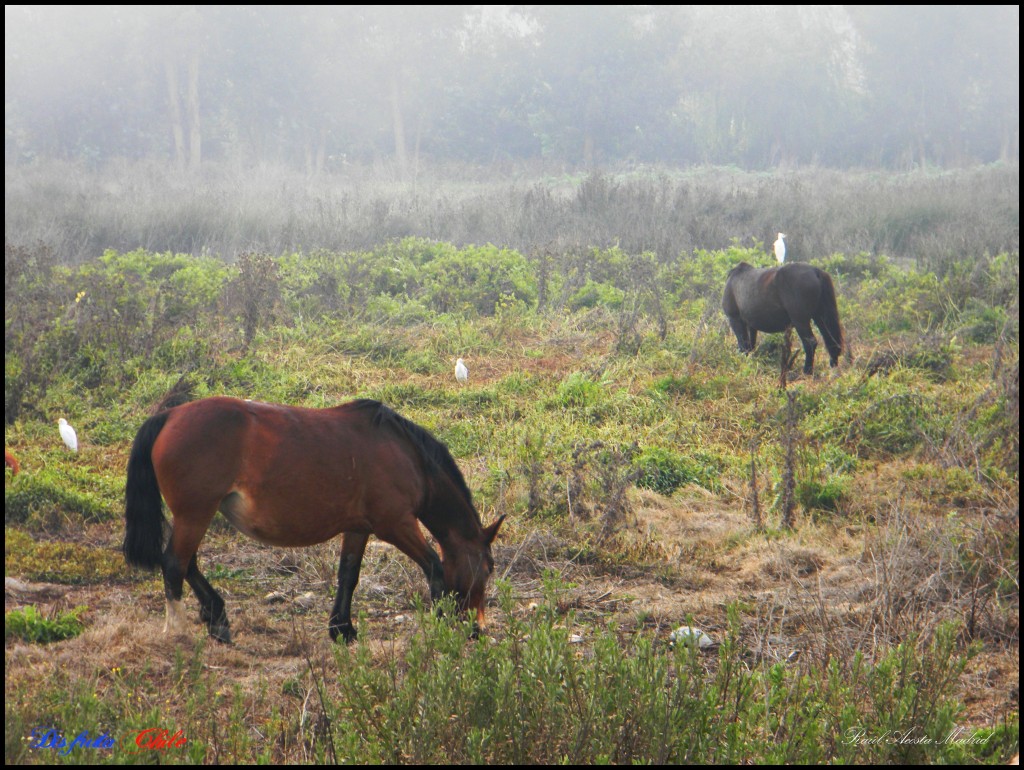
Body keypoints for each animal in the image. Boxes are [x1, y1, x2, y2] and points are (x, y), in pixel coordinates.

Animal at [122, 397, 503, 643]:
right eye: (487, 569)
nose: (478, 629)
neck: (405, 456)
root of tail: (170, 415)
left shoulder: (358, 528)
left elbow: (348, 575)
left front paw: (342, 629)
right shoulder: (396, 525)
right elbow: (435, 568)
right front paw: (444, 623)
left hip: (195, 515)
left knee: (188, 563)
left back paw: (217, 619)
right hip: (195, 514)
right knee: (175, 563)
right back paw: (179, 632)